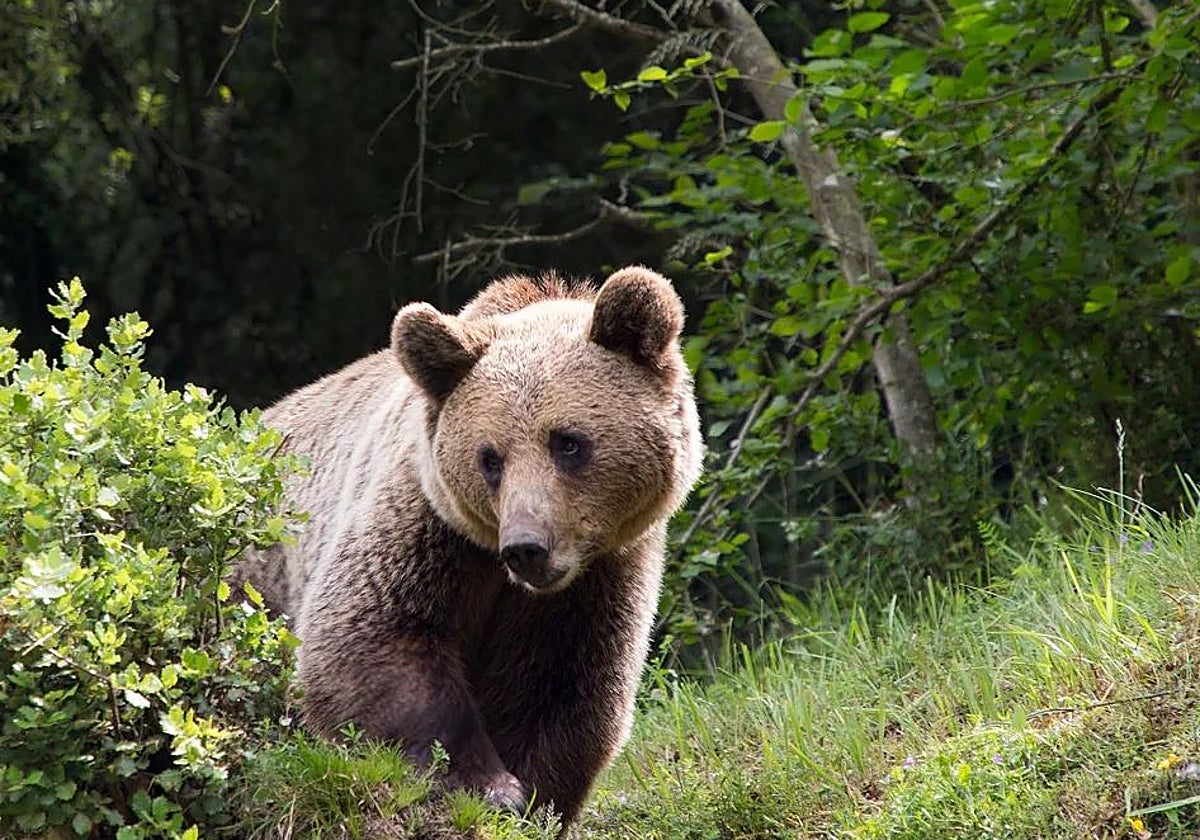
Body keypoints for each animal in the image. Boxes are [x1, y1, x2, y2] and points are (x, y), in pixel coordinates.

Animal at [234, 266, 703, 826]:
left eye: (568, 442)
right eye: (489, 457)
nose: (526, 547)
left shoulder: (600, 576)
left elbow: (561, 683)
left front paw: (533, 795)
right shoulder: (427, 527)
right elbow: (372, 637)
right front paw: (488, 784)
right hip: (253, 581)